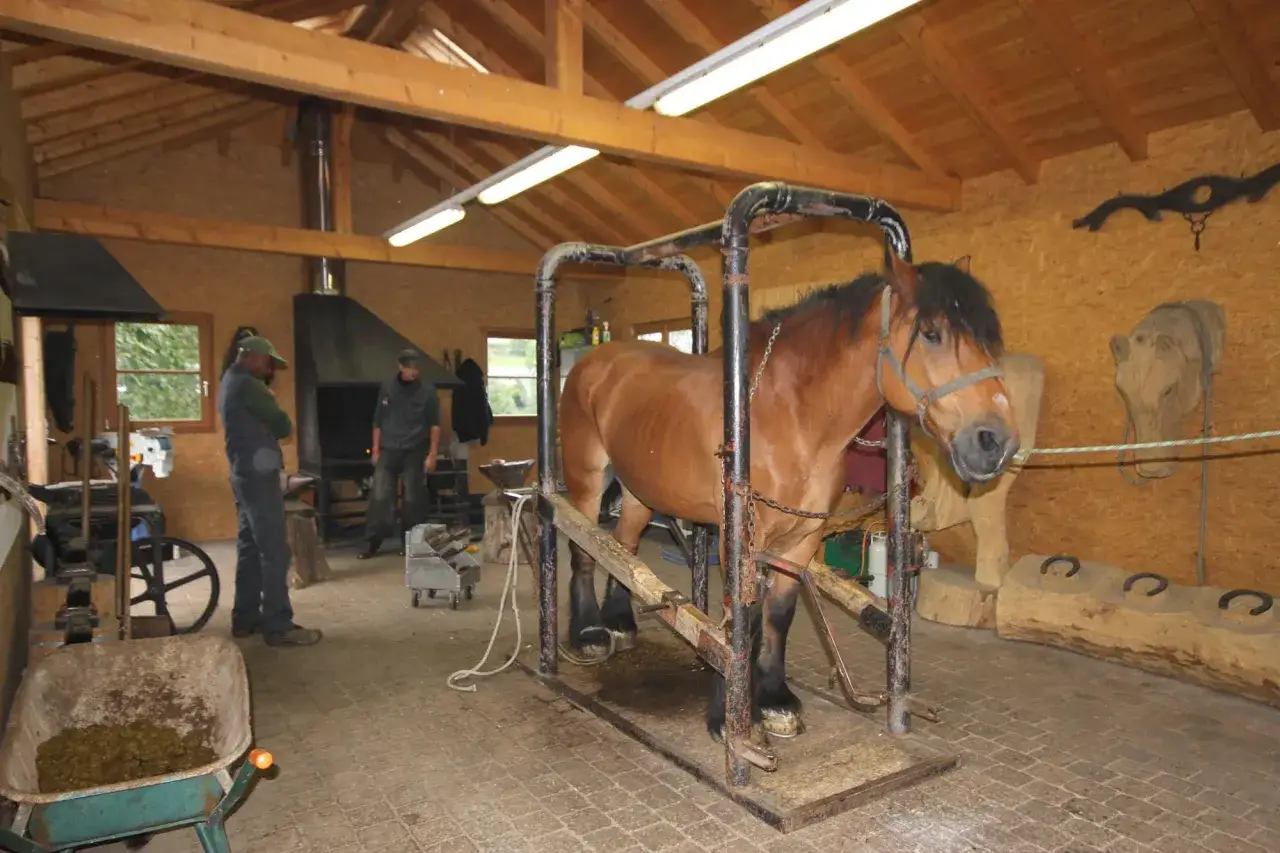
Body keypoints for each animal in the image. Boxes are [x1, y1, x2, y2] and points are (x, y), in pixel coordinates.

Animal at [557, 252, 1019, 742]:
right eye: (931, 334)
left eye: (987, 340)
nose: (997, 441)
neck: (788, 413)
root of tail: (595, 360)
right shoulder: (742, 539)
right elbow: (741, 623)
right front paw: (728, 717)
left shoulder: (801, 539)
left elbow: (778, 615)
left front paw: (775, 699)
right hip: (587, 481)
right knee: (583, 546)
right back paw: (589, 633)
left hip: (639, 490)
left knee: (621, 545)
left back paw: (620, 622)